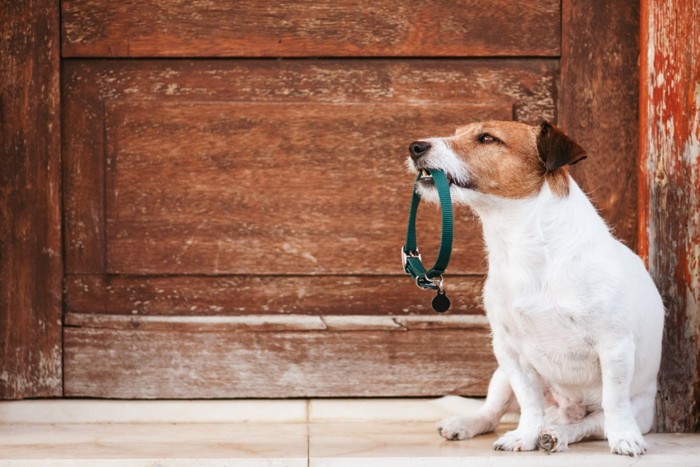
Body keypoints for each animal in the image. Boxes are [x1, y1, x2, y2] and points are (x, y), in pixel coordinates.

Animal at [404, 120, 660, 458]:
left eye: (487, 138)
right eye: (458, 132)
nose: (415, 147)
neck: (524, 246)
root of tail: (563, 411)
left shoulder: (614, 346)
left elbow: (614, 402)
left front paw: (624, 439)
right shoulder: (509, 351)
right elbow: (529, 400)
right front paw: (524, 436)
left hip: (636, 409)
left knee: (589, 424)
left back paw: (557, 434)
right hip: (500, 377)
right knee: (492, 413)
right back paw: (469, 424)